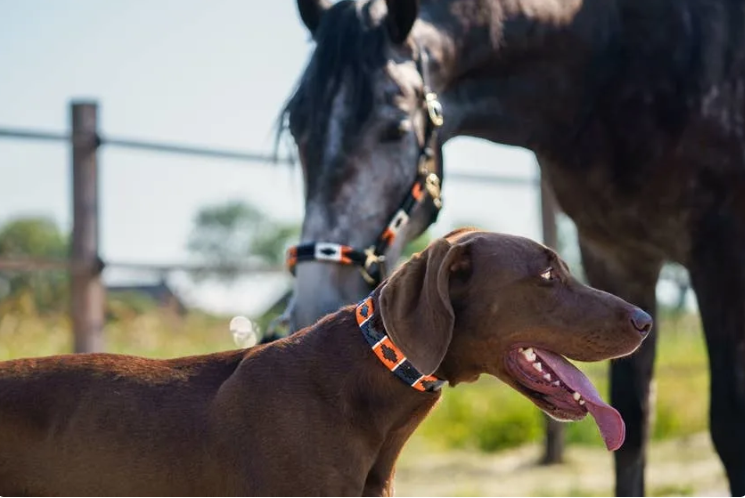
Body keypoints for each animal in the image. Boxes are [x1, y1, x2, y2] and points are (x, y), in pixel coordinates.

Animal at [276, 0, 745, 496]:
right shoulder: (616, 256)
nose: (315, 300)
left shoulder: (722, 257)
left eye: (396, 128)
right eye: (297, 129)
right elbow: (632, 423)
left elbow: (729, 425)